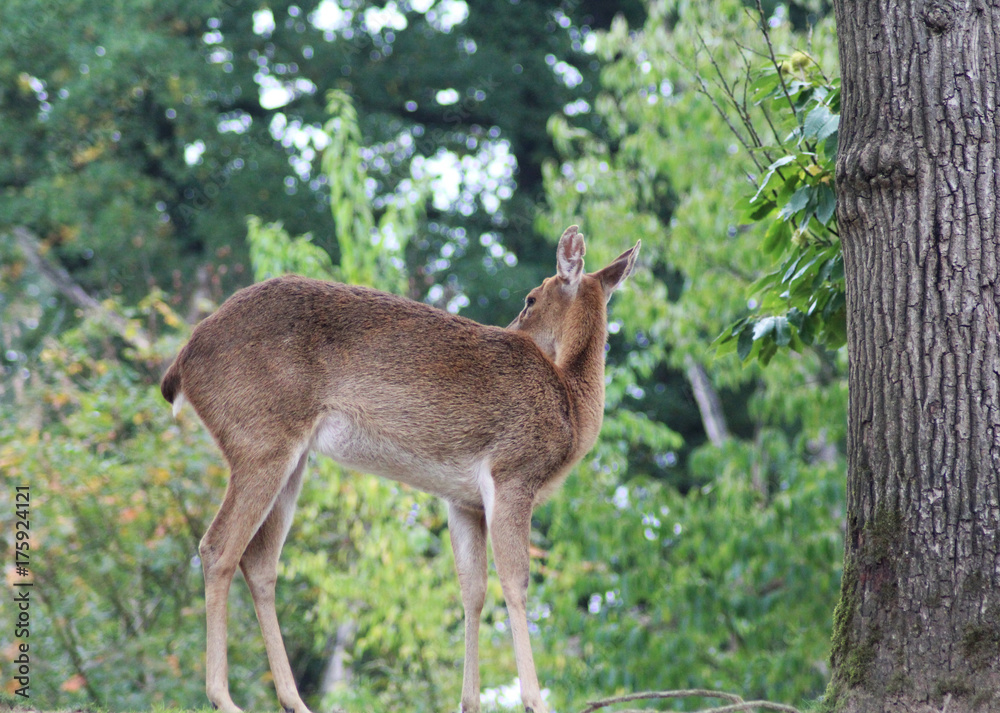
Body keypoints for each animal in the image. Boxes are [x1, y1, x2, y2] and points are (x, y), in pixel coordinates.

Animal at [158, 227, 640, 712]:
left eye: (529, 298)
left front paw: (470, 702)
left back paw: (294, 700)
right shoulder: (513, 471)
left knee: (258, 560)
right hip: (260, 441)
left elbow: (473, 590)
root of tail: (180, 366)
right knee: (218, 547)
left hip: (289, 458)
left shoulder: (463, 499)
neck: (571, 407)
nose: (512, 328)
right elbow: (516, 582)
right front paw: (535, 701)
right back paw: (223, 697)